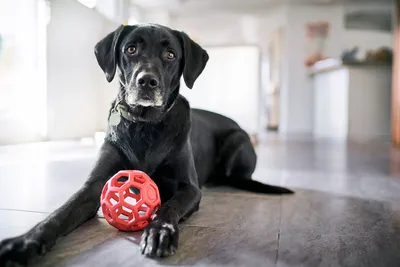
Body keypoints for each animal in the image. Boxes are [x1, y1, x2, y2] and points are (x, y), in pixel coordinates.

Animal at [0, 24, 292, 266]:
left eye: (170, 55)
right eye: (131, 49)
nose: (147, 81)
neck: (145, 125)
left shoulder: (189, 188)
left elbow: (168, 206)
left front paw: (160, 232)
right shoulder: (94, 186)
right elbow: (60, 213)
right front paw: (24, 242)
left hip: (237, 139)